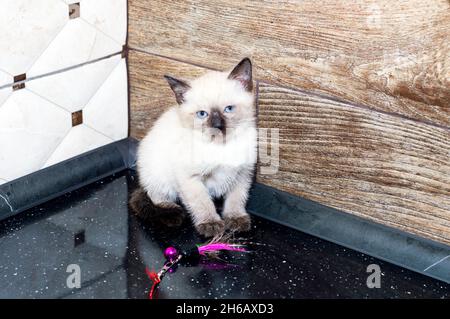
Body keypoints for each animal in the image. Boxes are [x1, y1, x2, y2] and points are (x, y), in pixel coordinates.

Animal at [130, 58, 256, 238]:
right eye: (202, 114)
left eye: (229, 109)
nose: (218, 126)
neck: (222, 146)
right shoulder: (190, 177)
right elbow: (202, 202)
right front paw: (210, 224)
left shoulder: (243, 174)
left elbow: (236, 199)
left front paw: (235, 218)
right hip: (159, 176)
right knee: (155, 197)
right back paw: (172, 215)